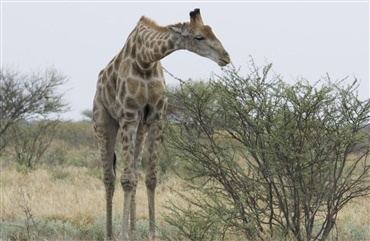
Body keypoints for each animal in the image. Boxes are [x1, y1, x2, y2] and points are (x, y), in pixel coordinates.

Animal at [92, 8, 230, 240]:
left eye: (211, 30)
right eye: (199, 37)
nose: (226, 57)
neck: (145, 60)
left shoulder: (157, 117)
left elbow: (150, 178)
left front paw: (151, 233)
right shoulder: (129, 115)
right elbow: (126, 179)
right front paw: (122, 235)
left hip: (141, 128)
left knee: (133, 174)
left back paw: (133, 231)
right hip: (103, 122)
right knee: (109, 177)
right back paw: (110, 233)